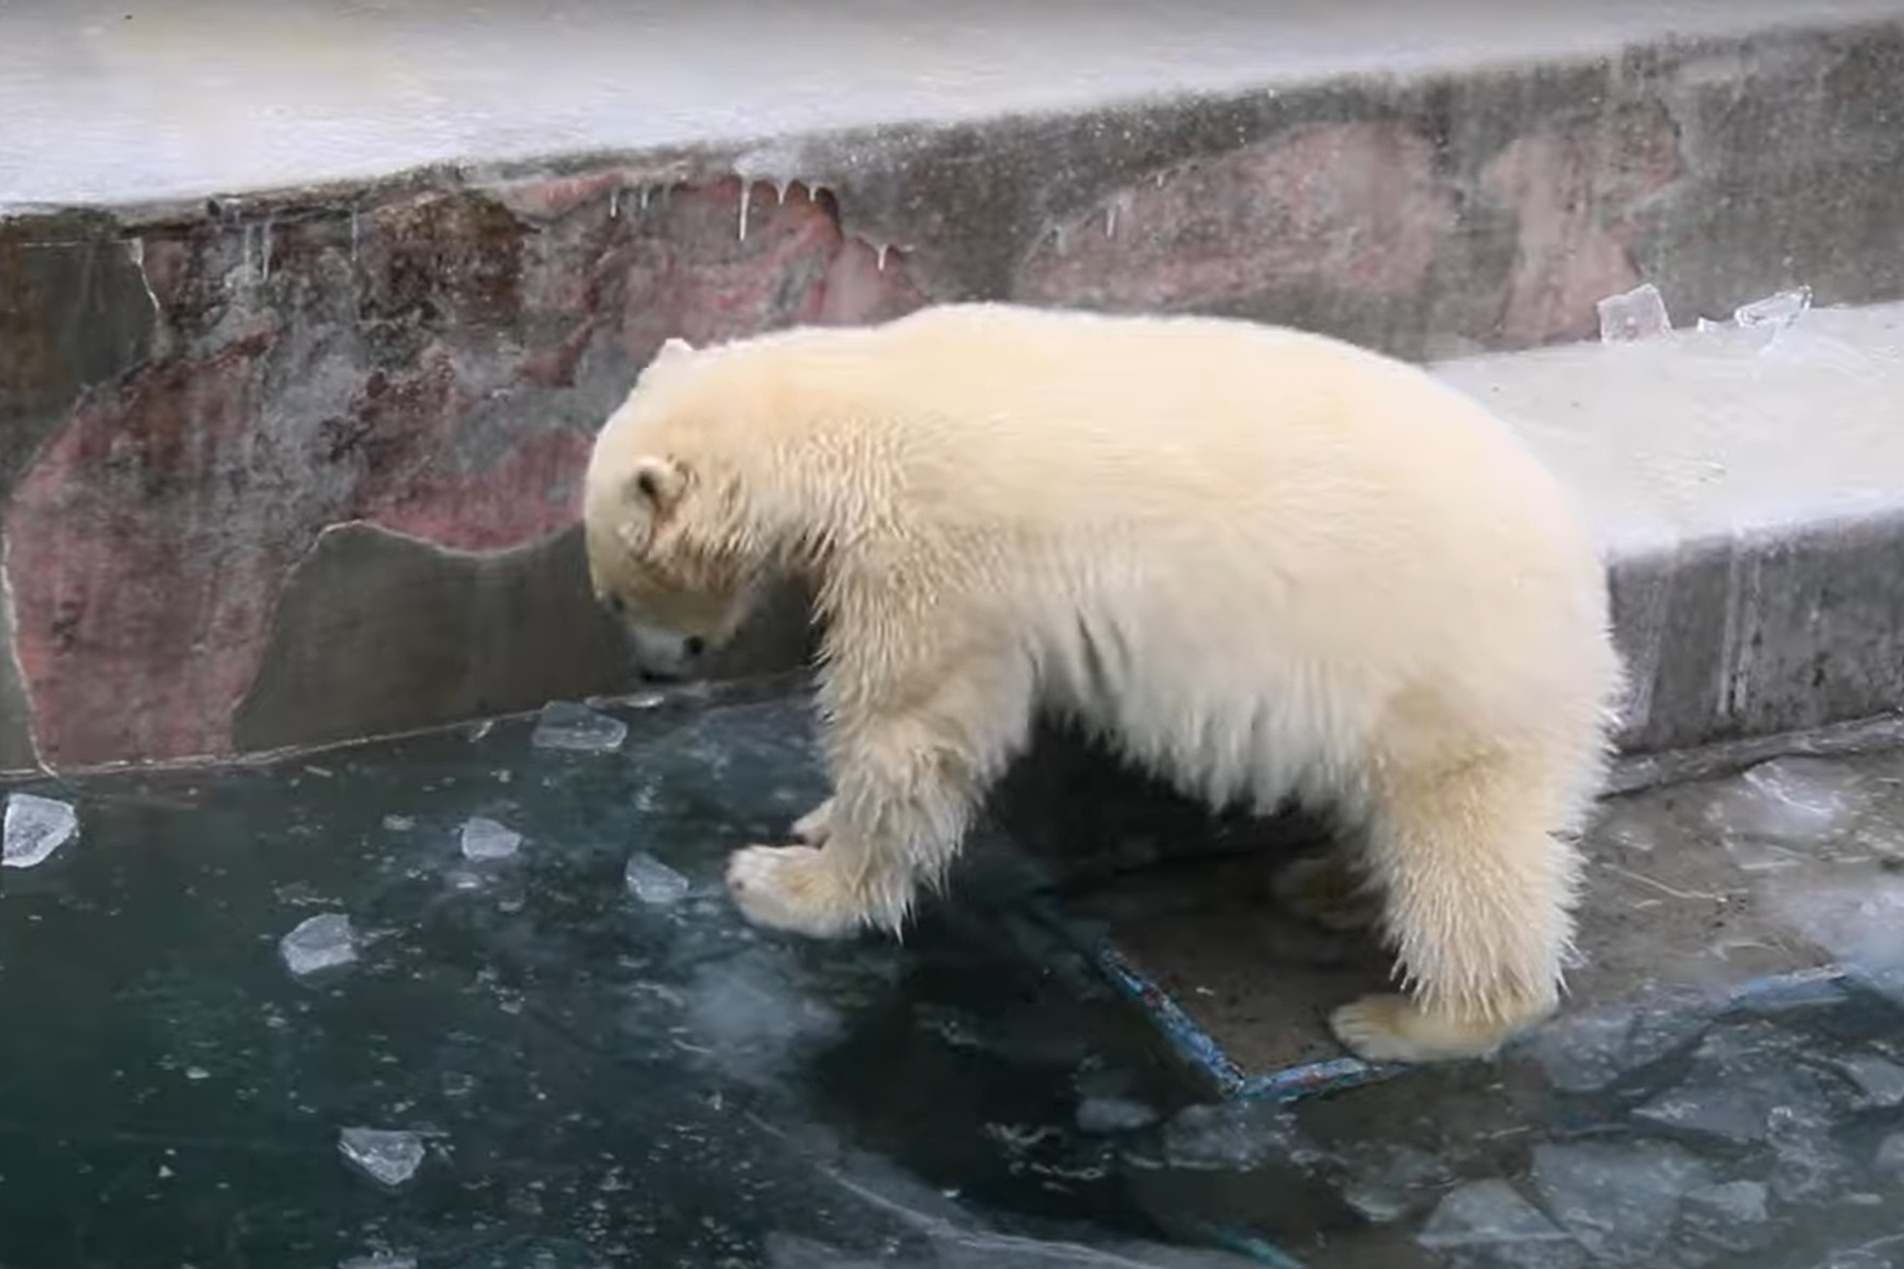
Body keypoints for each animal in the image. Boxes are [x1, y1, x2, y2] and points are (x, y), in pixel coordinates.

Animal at [578, 301, 1622, 1059]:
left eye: (615, 594)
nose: (649, 666)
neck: (855, 417)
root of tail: (1581, 572)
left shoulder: (936, 557)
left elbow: (911, 729)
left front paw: (788, 882)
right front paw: (814, 822)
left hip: (1449, 669)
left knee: (1465, 845)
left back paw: (1414, 1020)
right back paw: (1323, 881)